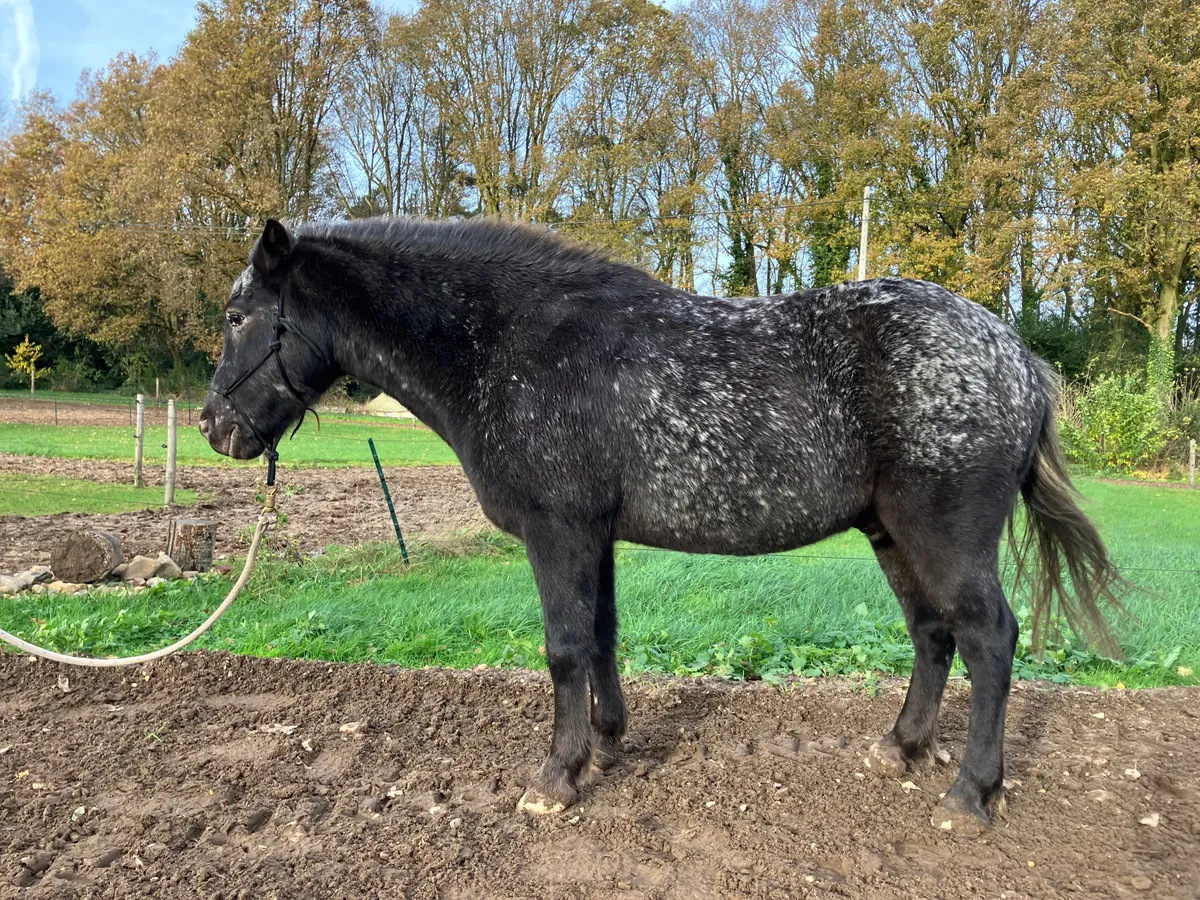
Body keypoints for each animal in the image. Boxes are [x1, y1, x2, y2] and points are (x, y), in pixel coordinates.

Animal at [200, 216, 1123, 833]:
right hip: (891, 533)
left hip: (943, 534)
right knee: (933, 635)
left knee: (989, 637)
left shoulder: (559, 530)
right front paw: (607, 746)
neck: (509, 346)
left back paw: (970, 794)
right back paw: (900, 748)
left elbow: (564, 647)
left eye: (239, 317)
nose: (215, 428)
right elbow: (602, 636)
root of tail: (1017, 357)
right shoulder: (593, 533)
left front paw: (556, 776)